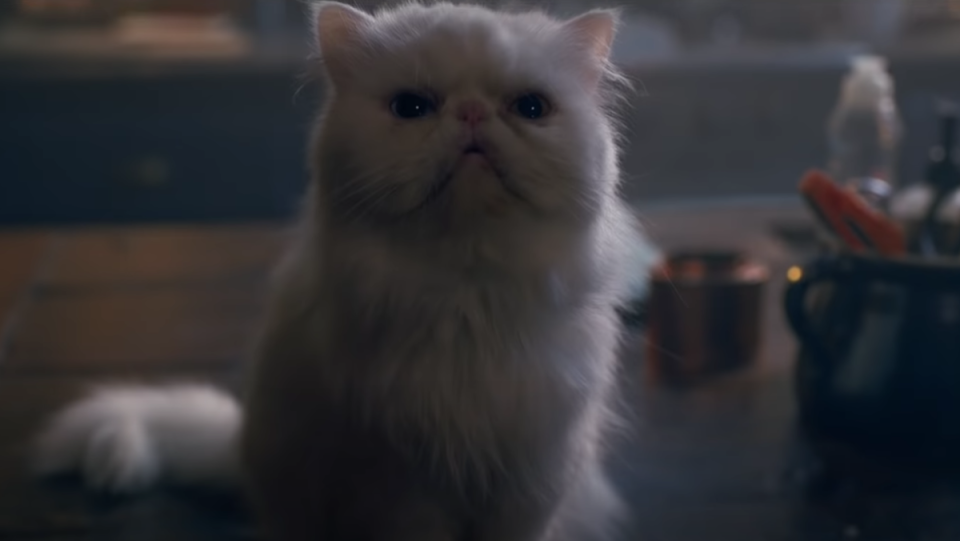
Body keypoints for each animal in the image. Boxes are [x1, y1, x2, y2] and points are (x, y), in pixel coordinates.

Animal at [33, 2, 640, 536]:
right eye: (411, 107)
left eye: (530, 108)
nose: (471, 113)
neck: (465, 300)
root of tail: (241, 444)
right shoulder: (401, 489)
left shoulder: (531, 484)